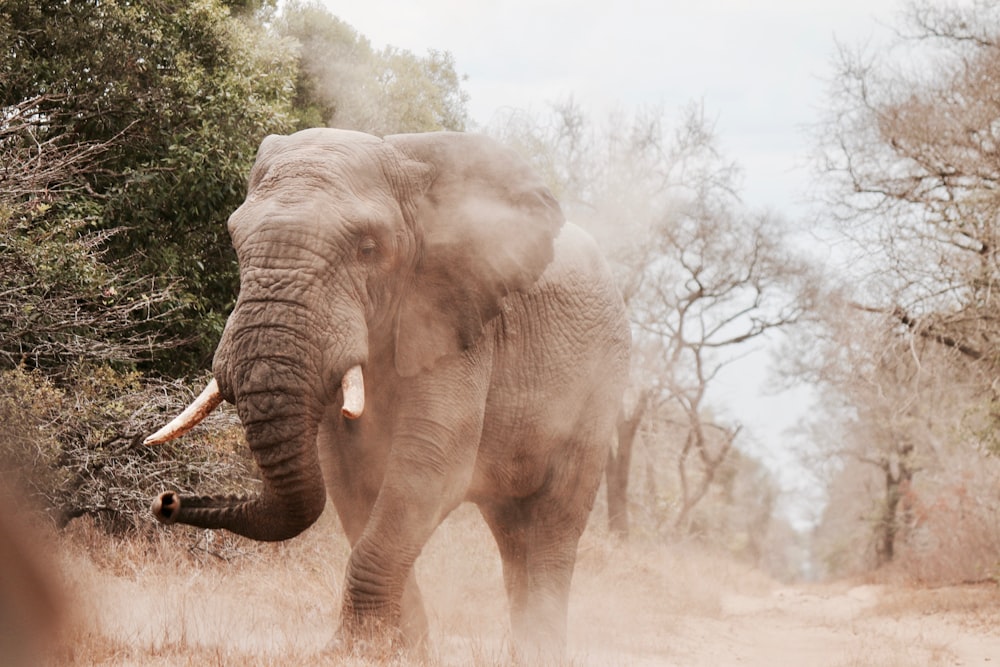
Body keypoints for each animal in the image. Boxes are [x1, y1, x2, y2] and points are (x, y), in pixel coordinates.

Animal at [145, 128, 628, 660]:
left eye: (368, 249)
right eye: (235, 241)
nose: (165, 500)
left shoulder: (456, 324)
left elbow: (428, 468)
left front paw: (353, 651)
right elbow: (349, 479)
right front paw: (401, 652)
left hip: (600, 384)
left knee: (553, 520)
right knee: (512, 527)